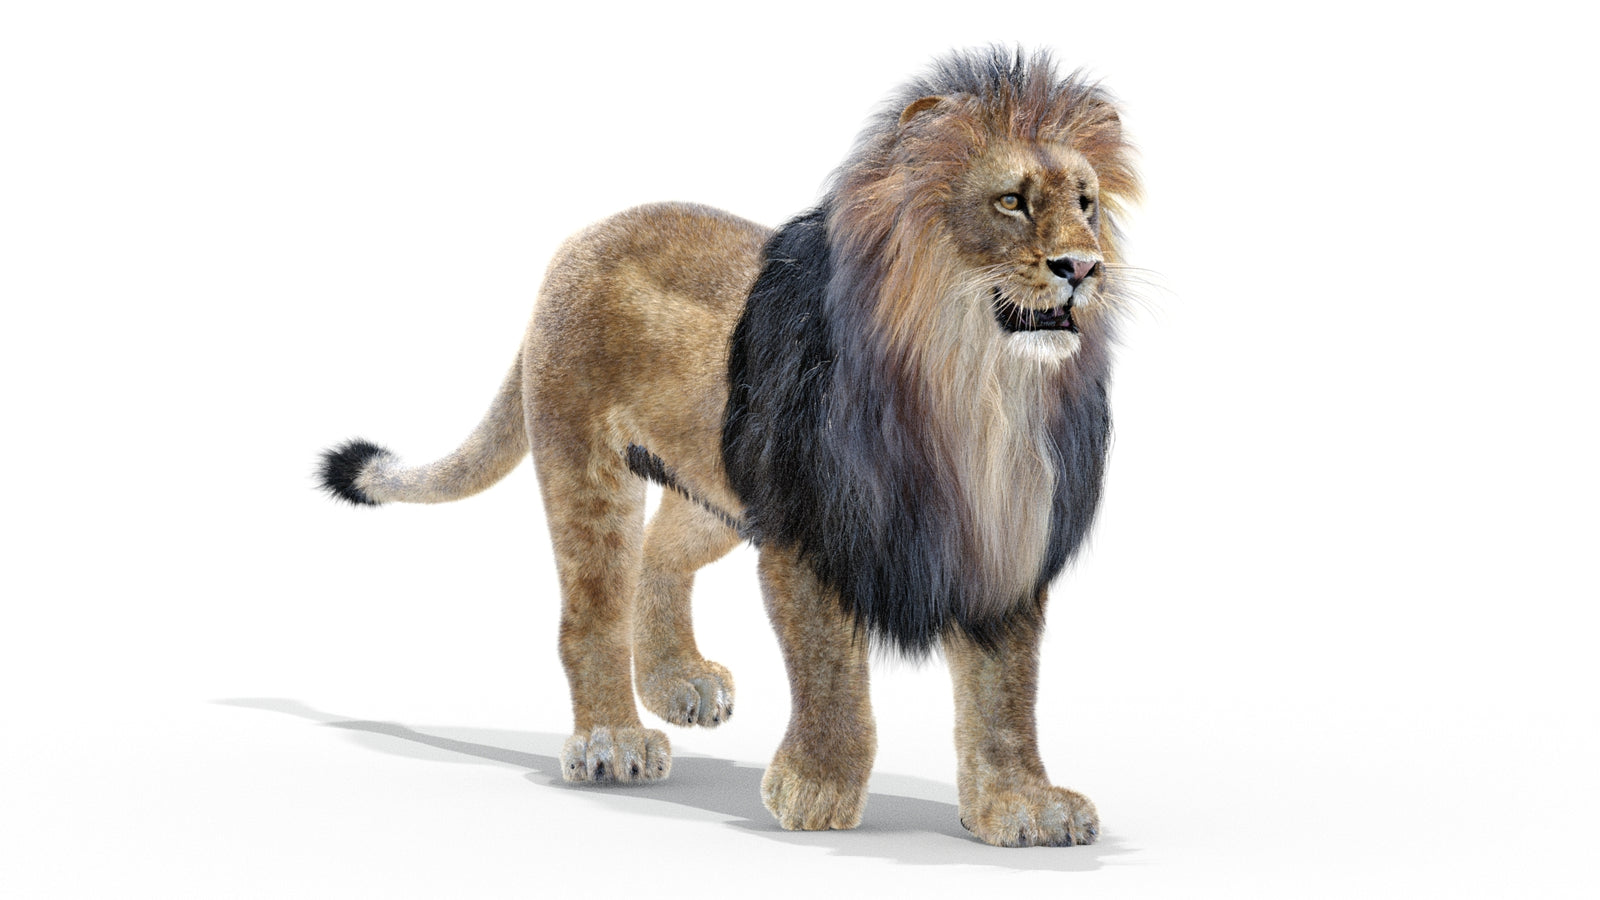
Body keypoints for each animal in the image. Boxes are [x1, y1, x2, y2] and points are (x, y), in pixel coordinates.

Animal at [318, 47, 1140, 847]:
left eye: (1086, 204)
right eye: (1012, 201)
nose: (1083, 267)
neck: (979, 391)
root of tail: (578, 244)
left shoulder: (1004, 543)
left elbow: (1005, 694)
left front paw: (1021, 807)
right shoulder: (809, 534)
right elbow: (829, 670)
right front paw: (819, 788)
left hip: (722, 486)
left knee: (658, 556)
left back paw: (678, 682)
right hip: (589, 468)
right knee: (591, 612)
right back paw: (613, 740)